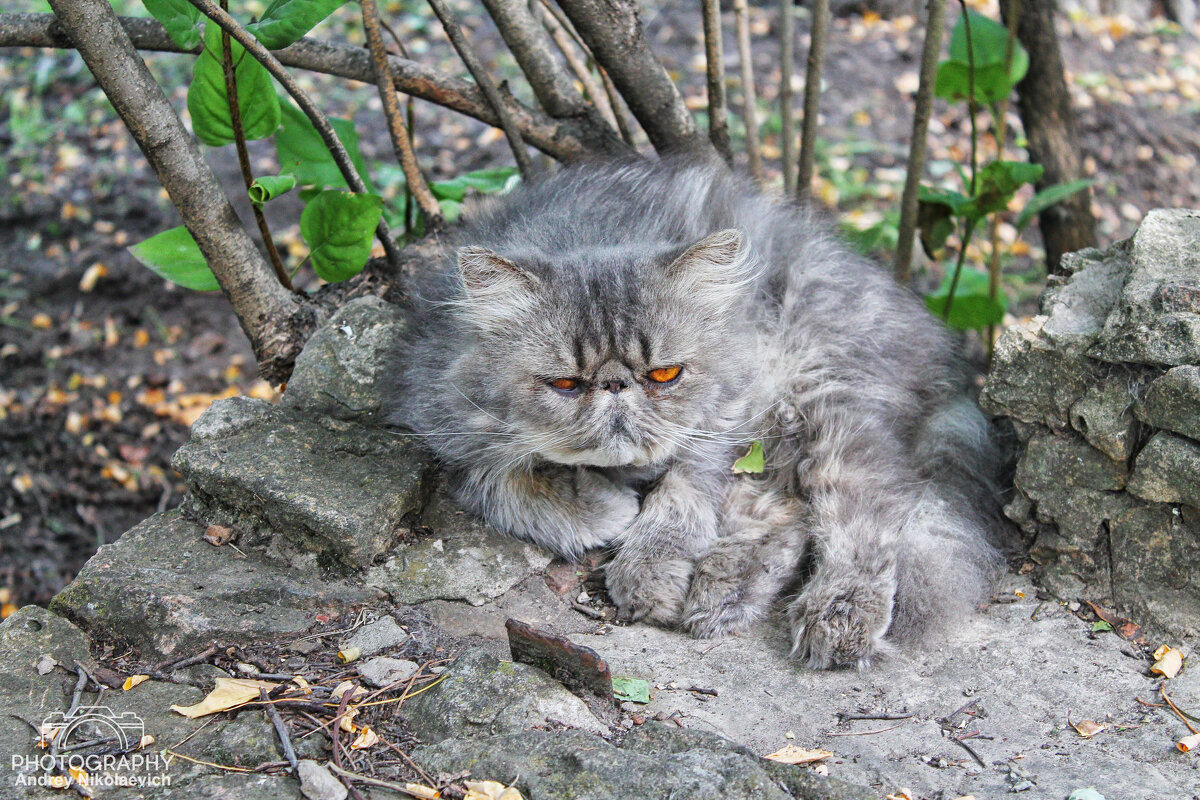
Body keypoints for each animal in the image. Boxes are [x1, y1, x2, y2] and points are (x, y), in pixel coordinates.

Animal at [388, 158, 998, 671]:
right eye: (565, 384)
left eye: (664, 375)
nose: (616, 385)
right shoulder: (445, 421)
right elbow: (504, 481)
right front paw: (600, 510)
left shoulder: (726, 419)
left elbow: (679, 498)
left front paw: (647, 566)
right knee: (787, 517)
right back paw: (721, 595)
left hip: (825, 404)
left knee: (865, 515)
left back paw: (836, 616)